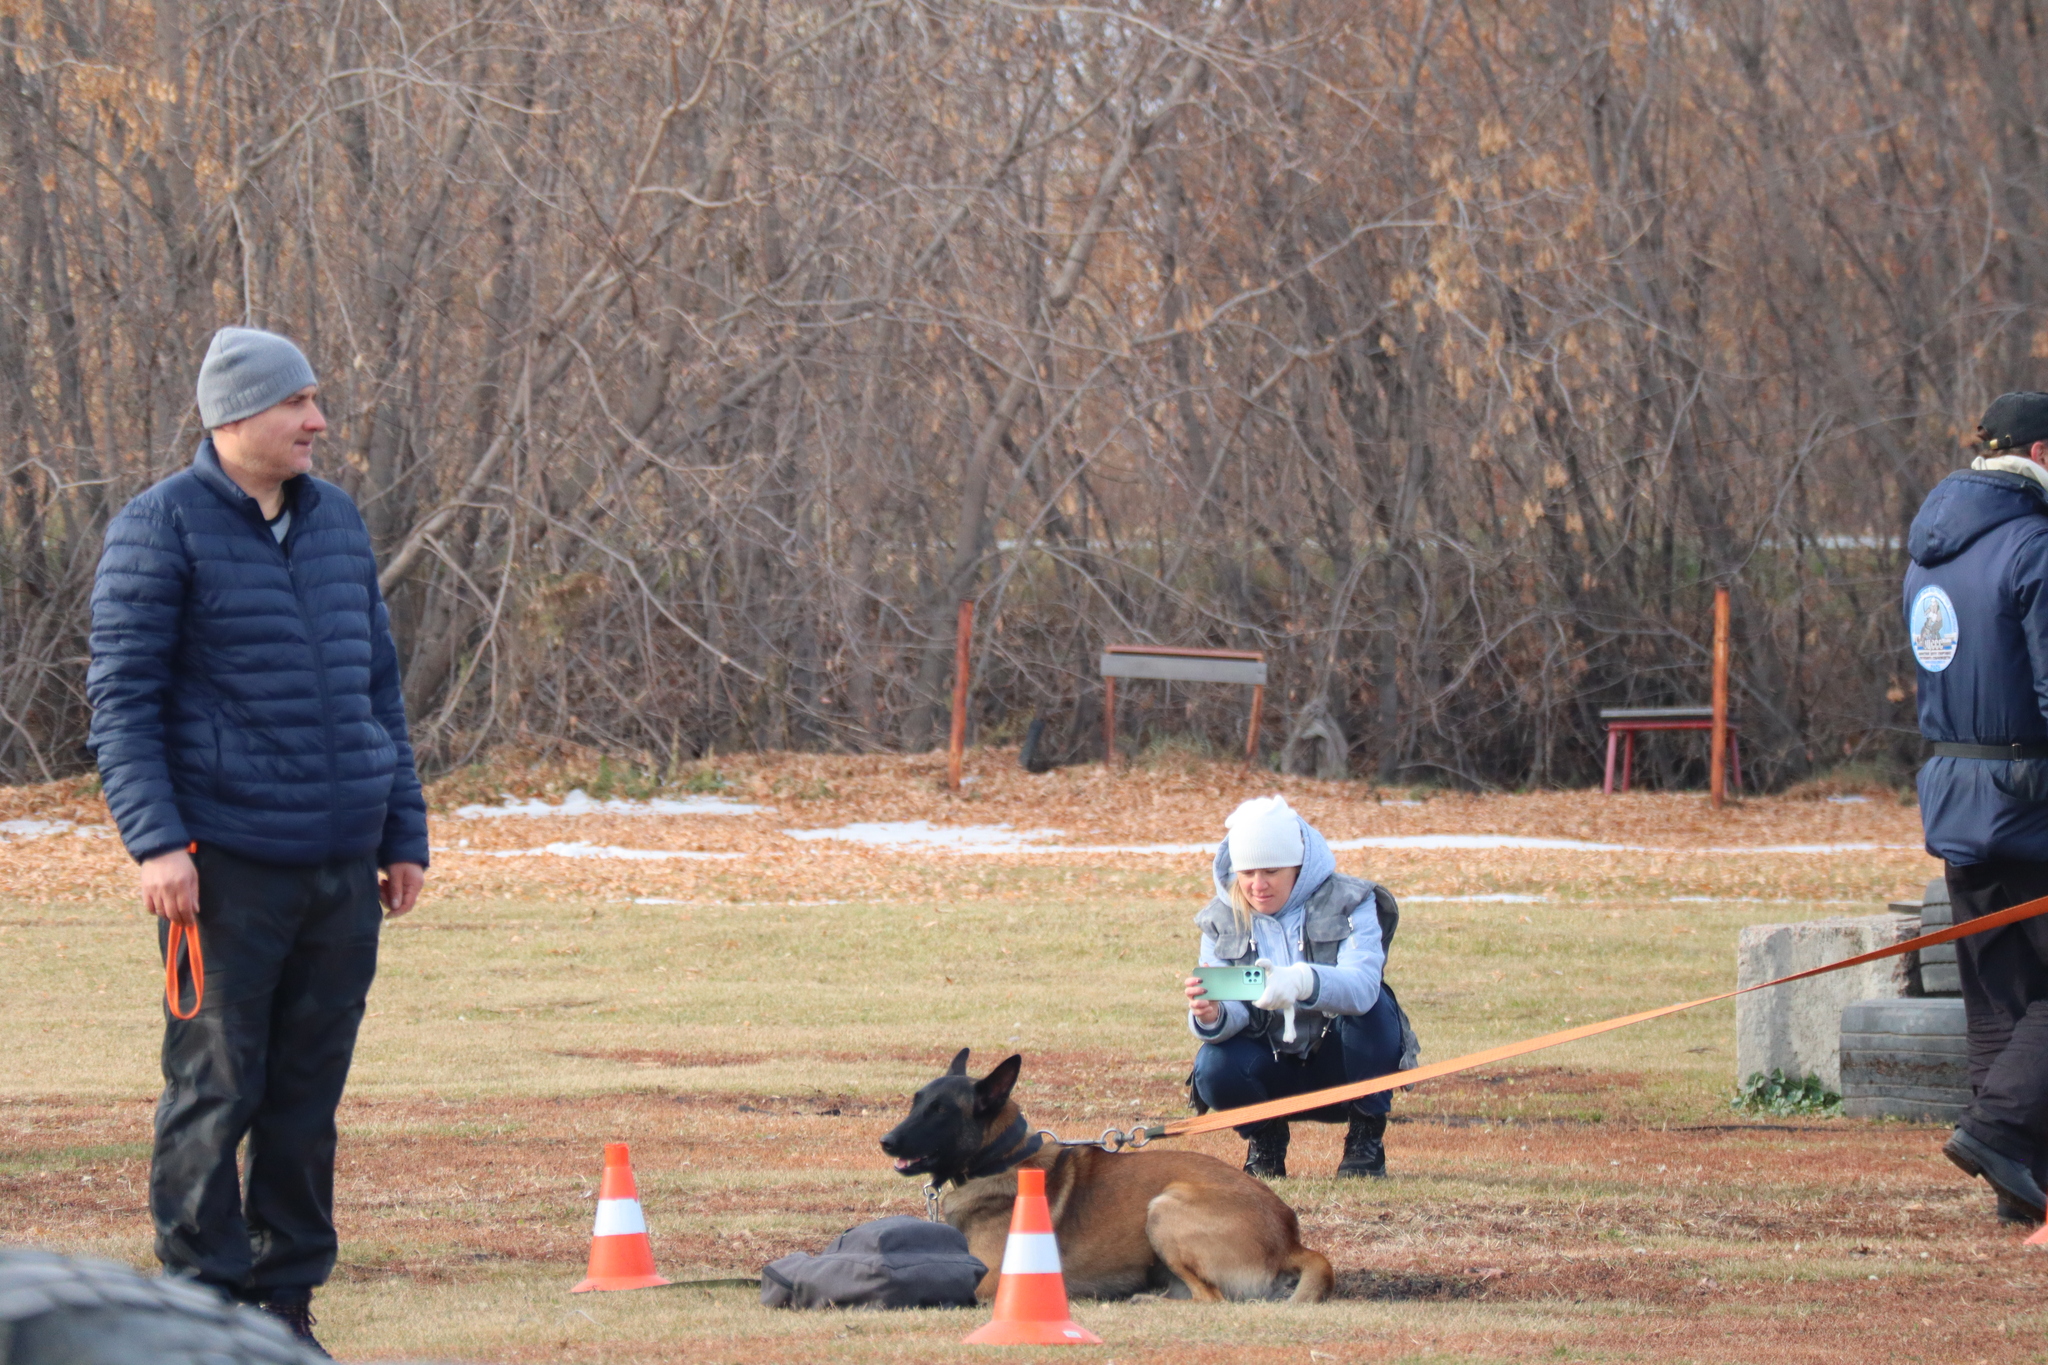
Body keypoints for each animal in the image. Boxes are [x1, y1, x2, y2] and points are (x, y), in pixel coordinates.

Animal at [876, 1055, 1327, 1301]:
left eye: (940, 1111)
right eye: (916, 1103)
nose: (886, 1141)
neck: (1001, 1158)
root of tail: (1290, 1239)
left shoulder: (991, 1281)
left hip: (1164, 1208)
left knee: (1211, 1297)